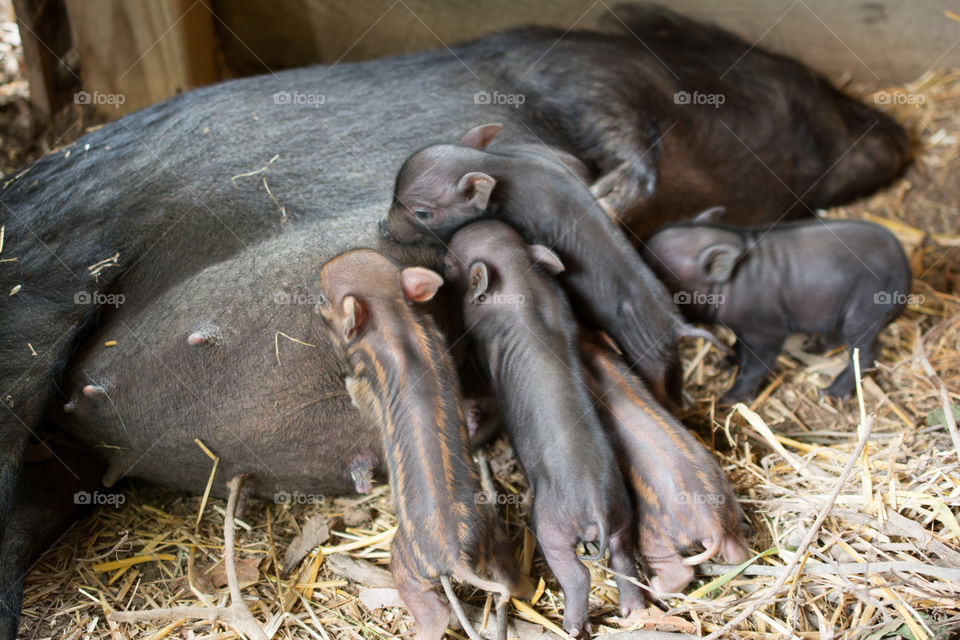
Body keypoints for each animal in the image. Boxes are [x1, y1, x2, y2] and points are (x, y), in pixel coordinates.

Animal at [314, 248, 525, 640]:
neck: (394, 321)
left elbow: (358, 397)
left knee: (434, 611)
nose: (317, 273)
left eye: (322, 298)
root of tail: (456, 558)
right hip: (493, 536)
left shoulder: (366, 376)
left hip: (405, 562)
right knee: (510, 577)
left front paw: (345, 385)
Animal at [381, 123, 727, 406]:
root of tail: (676, 326)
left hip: (649, 357)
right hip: (671, 360)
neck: (501, 169)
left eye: (422, 213)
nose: (383, 227)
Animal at [443, 220, 646, 638]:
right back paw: (633, 612)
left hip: (552, 526)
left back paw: (572, 626)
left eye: (451, 260)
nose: (441, 253)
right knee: (624, 560)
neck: (520, 277)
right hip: (622, 519)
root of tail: (597, 506)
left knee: (578, 574)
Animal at [578, 334, 750, 593]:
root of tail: (711, 521)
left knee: (678, 571)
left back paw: (656, 587)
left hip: (653, 535)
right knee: (737, 552)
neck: (602, 363)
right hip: (731, 515)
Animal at [642, 218, 912, 402]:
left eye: (660, 272)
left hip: (866, 308)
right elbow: (739, 347)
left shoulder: (766, 330)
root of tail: (906, 272)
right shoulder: (743, 329)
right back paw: (812, 346)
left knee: (866, 350)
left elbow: (756, 365)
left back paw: (829, 394)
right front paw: (725, 363)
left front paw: (729, 399)